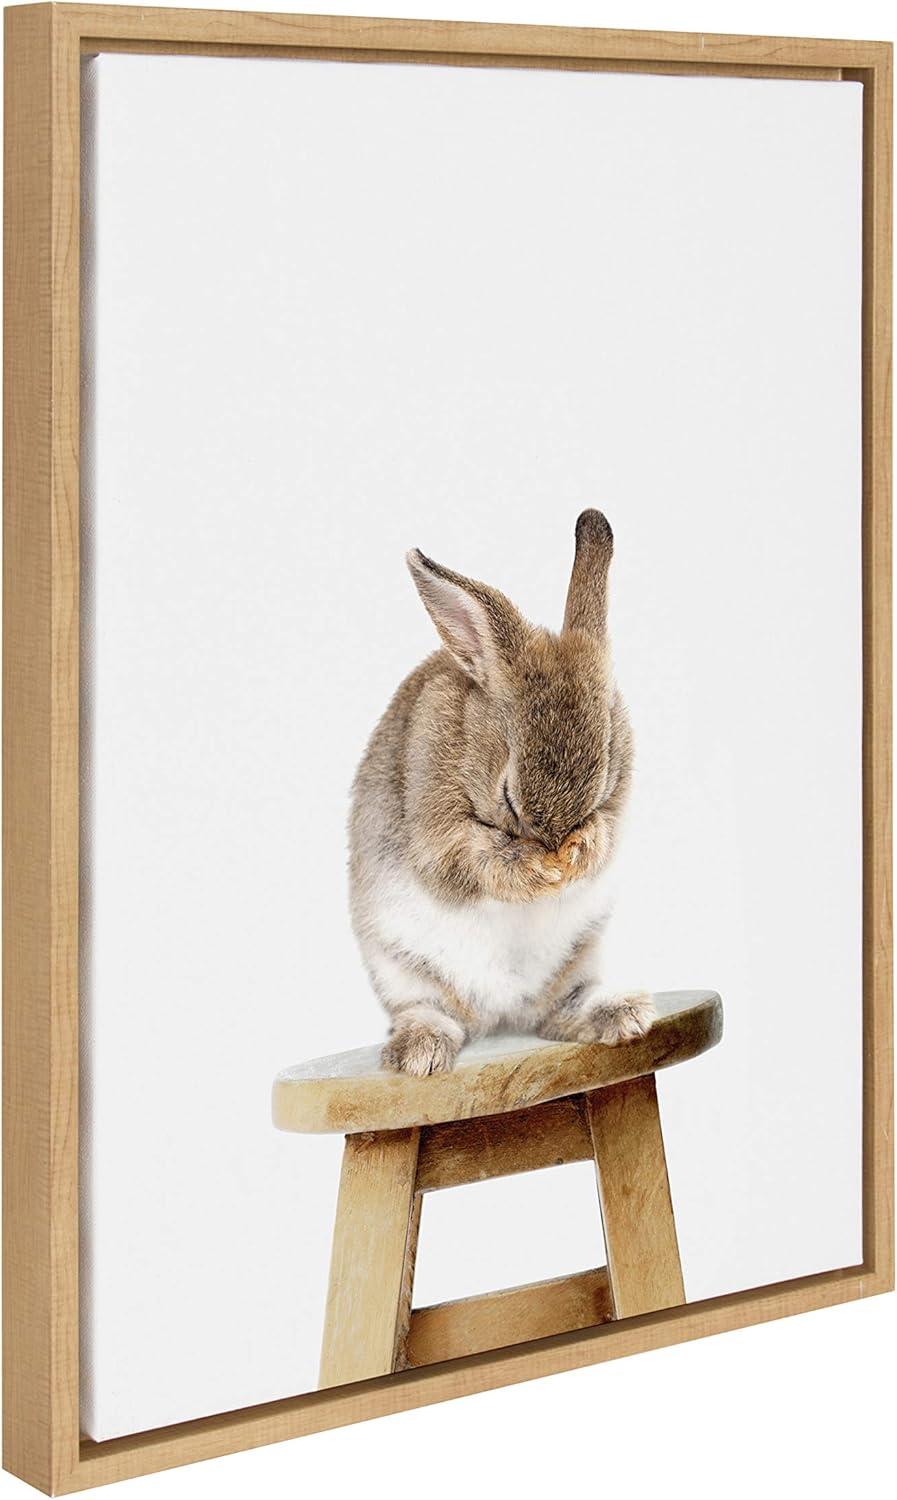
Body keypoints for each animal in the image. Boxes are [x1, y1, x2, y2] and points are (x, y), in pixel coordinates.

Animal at [349, 509, 654, 1076]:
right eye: (508, 796)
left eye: (603, 781)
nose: (556, 850)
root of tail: (501, 1014)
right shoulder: (436, 830)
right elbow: (475, 862)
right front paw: (538, 870)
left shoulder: (617, 811)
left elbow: (605, 836)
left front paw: (578, 854)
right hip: (402, 971)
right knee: (428, 1011)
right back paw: (419, 1054)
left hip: (578, 959)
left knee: (563, 1011)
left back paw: (624, 1016)